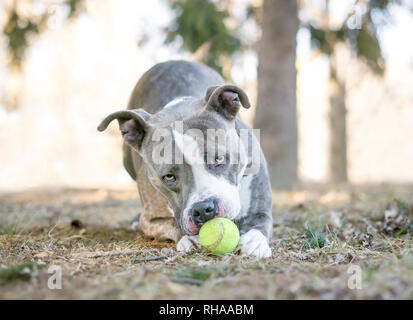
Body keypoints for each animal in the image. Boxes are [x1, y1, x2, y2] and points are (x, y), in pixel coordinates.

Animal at [98, 60, 272, 260]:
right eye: (168, 177)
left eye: (219, 159)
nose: (203, 209)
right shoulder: (150, 219)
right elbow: (170, 222)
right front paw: (188, 238)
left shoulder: (261, 207)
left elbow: (259, 222)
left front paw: (254, 241)